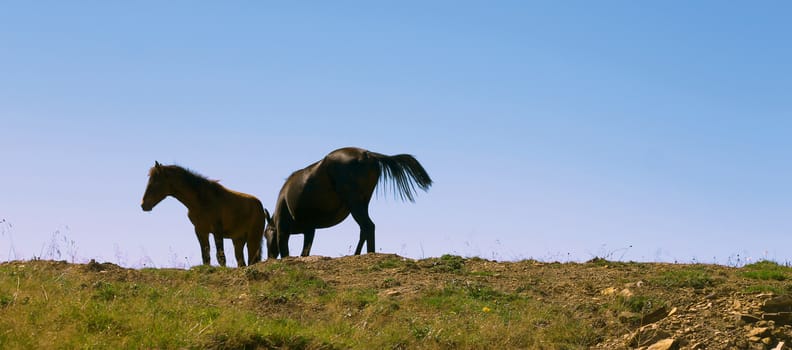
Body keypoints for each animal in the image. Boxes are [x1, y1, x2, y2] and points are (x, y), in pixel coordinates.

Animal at [266, 146, 430, 258]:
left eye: (266, 235)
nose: (269, 257)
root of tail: (368, 154)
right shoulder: (310, 229)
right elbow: (305, 251)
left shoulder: (283, 230)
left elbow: (288, 252)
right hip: (363, 202)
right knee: (364, 229)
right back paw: (356, 254)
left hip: (354, 202)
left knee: (368, 226)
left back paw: (368, 253)